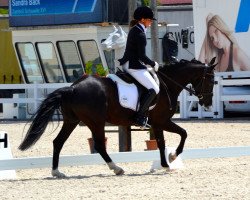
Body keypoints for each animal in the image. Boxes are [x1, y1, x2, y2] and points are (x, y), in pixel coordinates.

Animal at [18, 57, 216, 177]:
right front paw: (171, 159)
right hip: (96, 122)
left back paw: (57, 172)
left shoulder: (158, 123)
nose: (208, 104)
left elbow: (165, 141)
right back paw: (117, 168)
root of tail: (73, 88)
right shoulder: (161, 121)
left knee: (58, 142)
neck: (168, 83)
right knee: (99, 145)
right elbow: (180, 135)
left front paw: (167, 162)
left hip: (72, 121)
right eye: (212, 80)